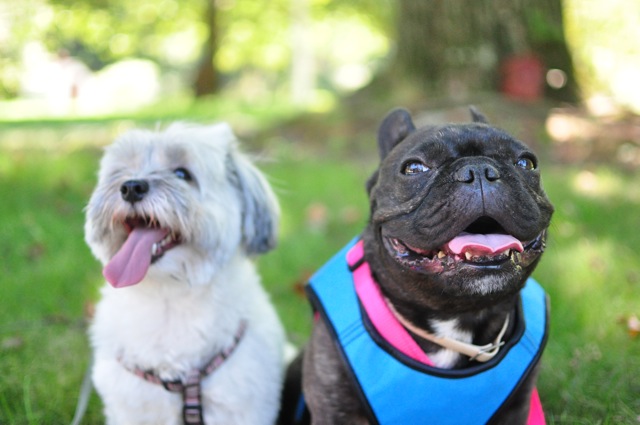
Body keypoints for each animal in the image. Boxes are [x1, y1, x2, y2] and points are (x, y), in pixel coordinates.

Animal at [297, 108, 554, 425]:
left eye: (526, 162)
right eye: (414, 168)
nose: (479, 169)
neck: (455, 318)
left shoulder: (516, 410)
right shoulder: (337, 411)